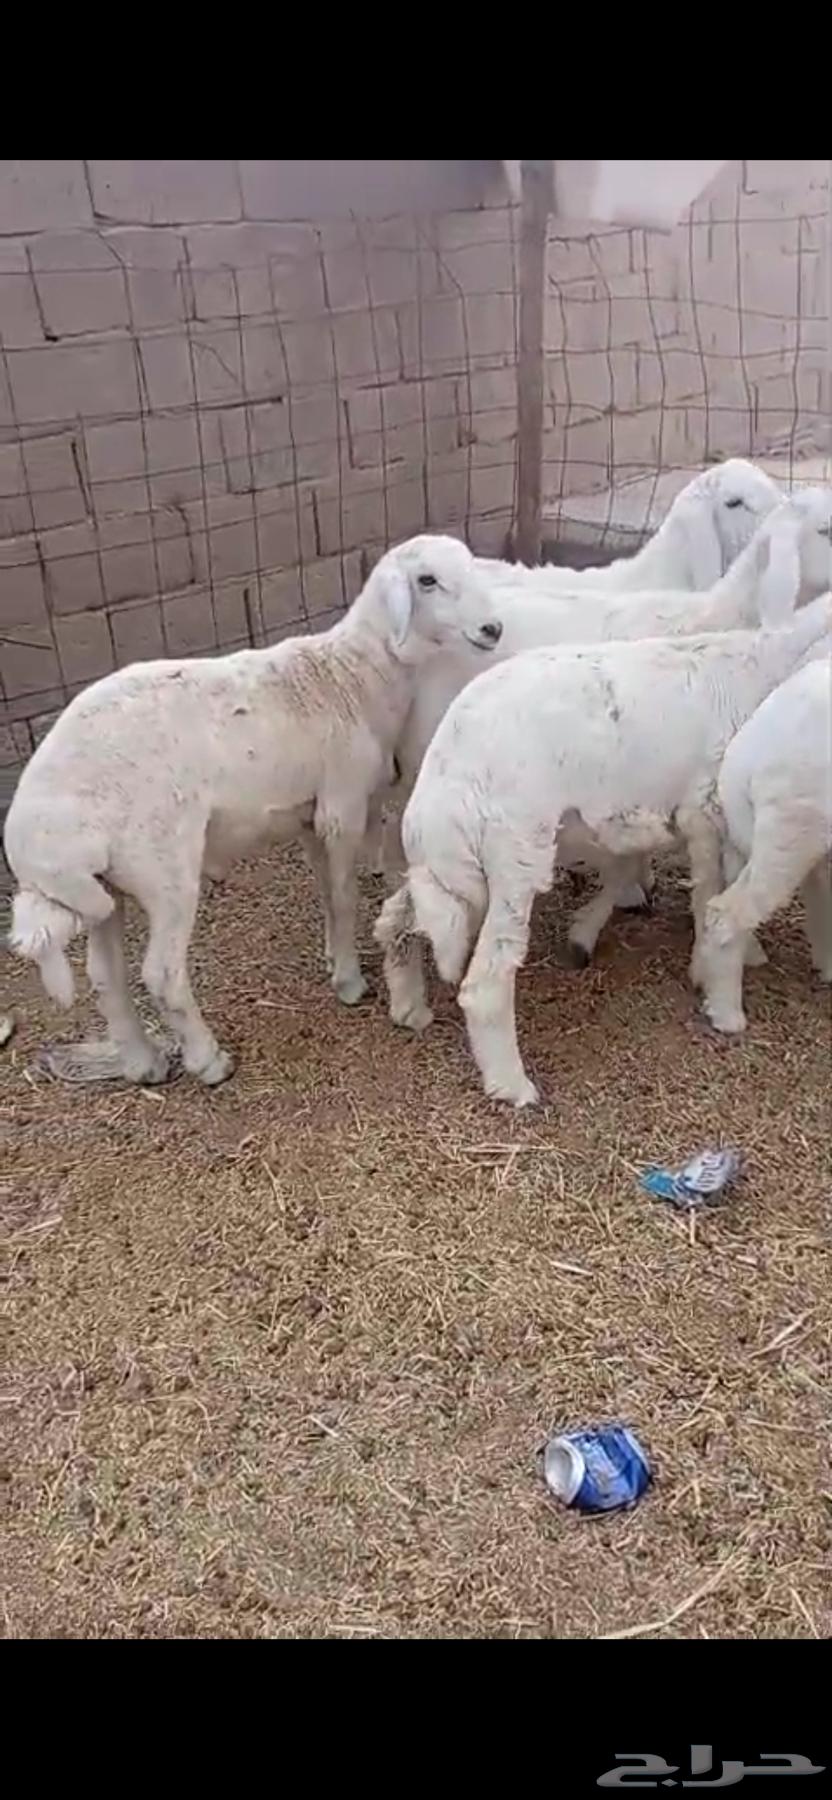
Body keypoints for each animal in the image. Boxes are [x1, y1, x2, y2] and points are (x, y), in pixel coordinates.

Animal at [4, 536, 503, 1088]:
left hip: (104, 885)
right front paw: (350, 981)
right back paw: (208, 1061)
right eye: (427, 581)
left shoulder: (309, 816)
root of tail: (33, 828)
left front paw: (333, 957)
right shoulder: (343, 804)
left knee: (105, 976)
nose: (493, 629)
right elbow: (346, 897)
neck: (352, 676)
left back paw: (143, 1063)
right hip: (162, 868)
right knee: (161, 973)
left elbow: (326, 893)